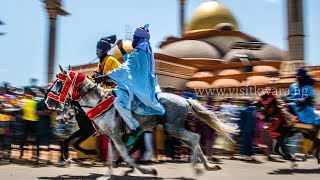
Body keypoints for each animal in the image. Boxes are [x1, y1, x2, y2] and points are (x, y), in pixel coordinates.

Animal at [45, 67, 238, 175]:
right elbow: (110, 157)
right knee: (192, 141)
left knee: (194, 139)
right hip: (173, 129)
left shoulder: (113, 135)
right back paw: (206, 166)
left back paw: (198, 167)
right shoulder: (109, 136)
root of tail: (185, 100)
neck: (97, 103)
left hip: (173, 128)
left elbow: (125, 156)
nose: (47, 101)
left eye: (59, 83)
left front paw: (147, 170)